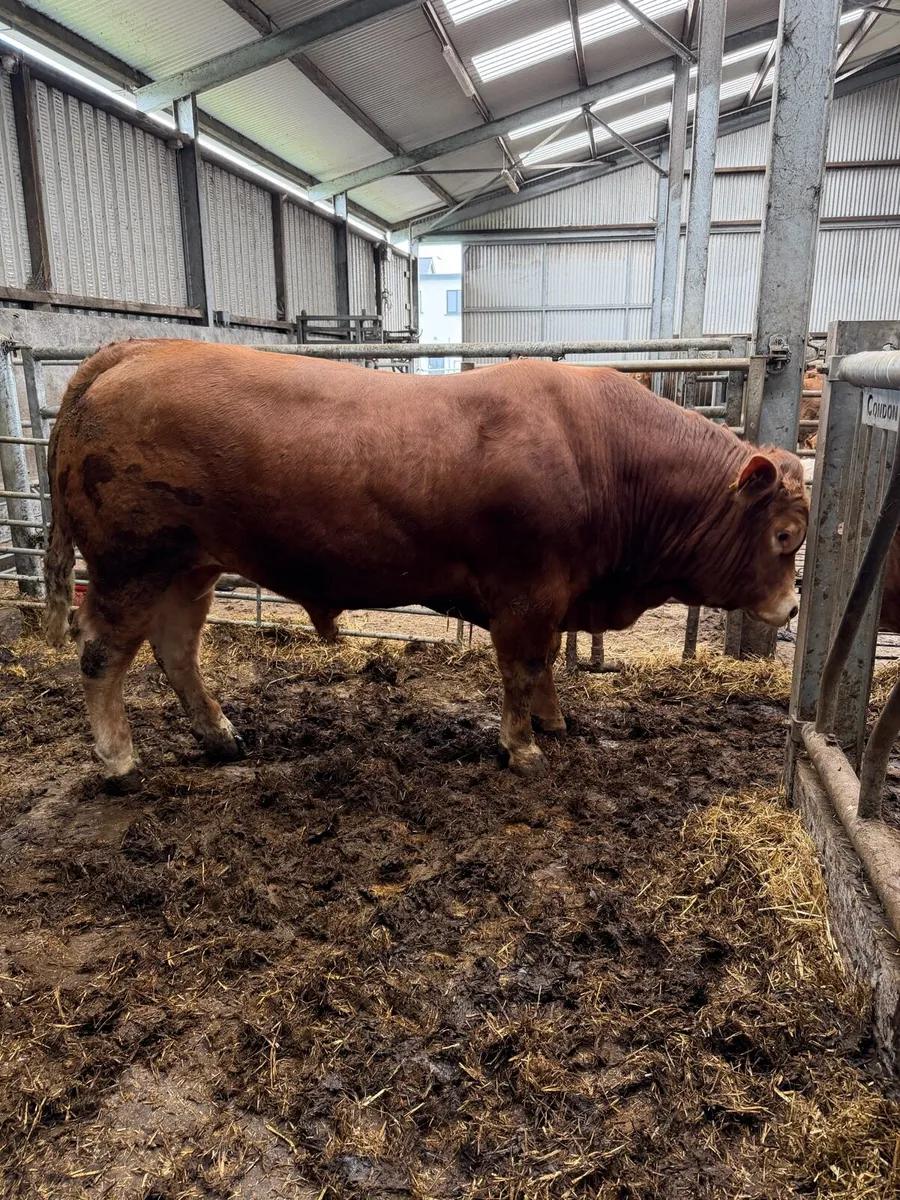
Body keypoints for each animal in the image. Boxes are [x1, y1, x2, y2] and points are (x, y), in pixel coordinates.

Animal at [44, 340, 808, 788]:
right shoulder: (526, 593)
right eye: (785, 535)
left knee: (176, 649)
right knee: (102, 655)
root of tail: (136, 349)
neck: (604, 454)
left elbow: (547, 665)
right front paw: (522, 748)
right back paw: (119, 762)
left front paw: (554, 723)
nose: (793, 607)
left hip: (191, 565)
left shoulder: (553, 595)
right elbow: (523, 667)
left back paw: (221, 737)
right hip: (129, 563)